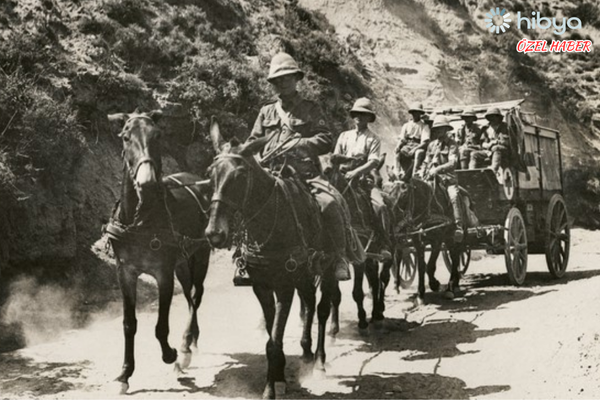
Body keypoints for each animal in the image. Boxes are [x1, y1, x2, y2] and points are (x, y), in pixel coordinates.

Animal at [106, 110, 213, 394]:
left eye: (157, 136)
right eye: (125, 137)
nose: (147, 183)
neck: (140, 220)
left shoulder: (163, 273)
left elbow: (160, 326)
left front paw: (171, 354)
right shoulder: (125, 272)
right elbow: (129, 324)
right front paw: (125, 373)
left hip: (201, 254)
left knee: (196, 296)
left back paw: (185, 346)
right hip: (182, 263)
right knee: (189, 296)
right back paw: (191, 341)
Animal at [205, 120, 338, 398]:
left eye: (239, 176)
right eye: (210, 174)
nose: (214, 234)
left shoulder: (284, 287)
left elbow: (274, 339)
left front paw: (270, 388)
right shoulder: (261, 287)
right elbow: (270, 337)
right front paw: (278, 378)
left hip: (328, 269)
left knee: (322, 309)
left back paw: (320, 361)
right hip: (304, 274)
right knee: (309, 302)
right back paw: (306, 351)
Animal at [324, 158, 394, 330]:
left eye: (328, 170)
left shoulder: (359, 260)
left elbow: (357, 292)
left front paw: (362, 321)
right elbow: (335, 294)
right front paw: (333, 326)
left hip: (390, 250)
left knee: (383, 278)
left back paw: (379, 311)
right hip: (370, 258)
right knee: (374, 282)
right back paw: (375, 313)